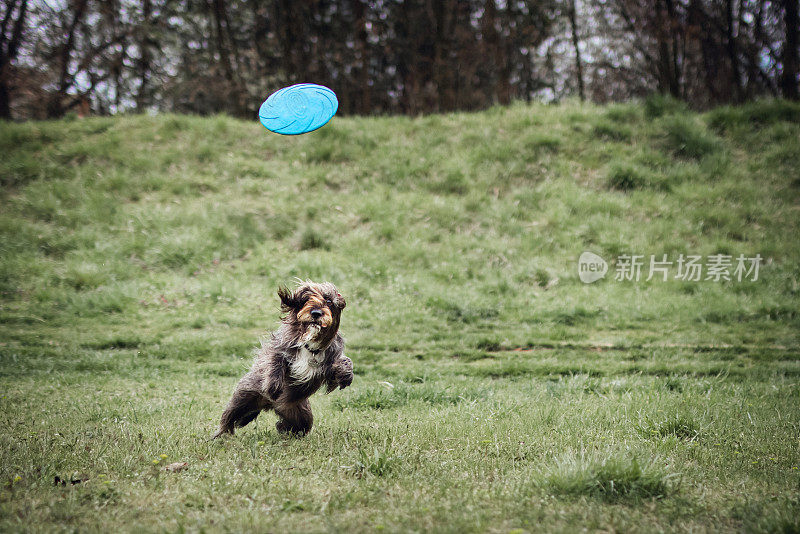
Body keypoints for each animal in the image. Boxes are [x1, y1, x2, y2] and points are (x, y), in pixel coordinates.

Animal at [212, 280, 354, 440]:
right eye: (306, 299)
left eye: (329, 301)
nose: (316, 313)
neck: (309, 345)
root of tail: (268, 404)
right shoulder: (279, 347)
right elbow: (276, 361)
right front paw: (273, 386)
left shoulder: (329, 363)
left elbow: (344, 362)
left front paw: (346, 374)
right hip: (243, 398)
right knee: (229, 417)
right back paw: (221, 435)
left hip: (302, 416)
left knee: (293, 426)